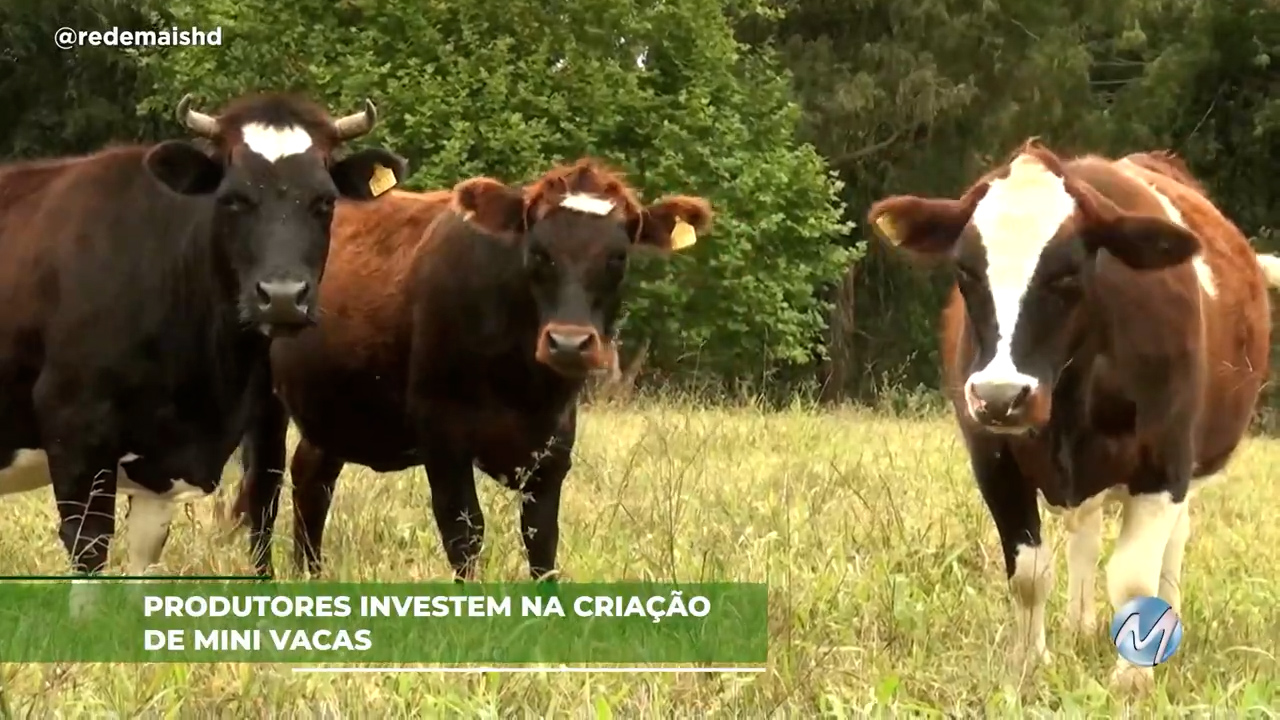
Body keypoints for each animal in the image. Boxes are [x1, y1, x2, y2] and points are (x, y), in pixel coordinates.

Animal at [0, 91, 407, 614]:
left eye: (325, 201)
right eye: (232, 199)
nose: (281, 296)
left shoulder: (162, 458)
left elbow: (145, 559)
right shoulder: (73, 422)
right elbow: (88, 548)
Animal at [225, 159, 711, 582]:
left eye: (618, 257)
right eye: (538, 252)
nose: (569, 343)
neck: (524, 386)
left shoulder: (554, 448)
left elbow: (542, 542)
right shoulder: (442, 436)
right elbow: (465, 533)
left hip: (335, 405)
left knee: (311, 479)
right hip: (264, 400)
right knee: (263, 489)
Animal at [866, 139, 1280, 692]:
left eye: (1067, 272)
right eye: (966, 271)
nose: (1001, 395)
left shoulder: (1164, 461)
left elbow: (1133, 577)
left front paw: (1132, 678)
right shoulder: (993, 460)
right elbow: (1028, 575)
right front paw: (1029, 663)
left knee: (1173, 543)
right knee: (1084, 530)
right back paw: (1080, 624)